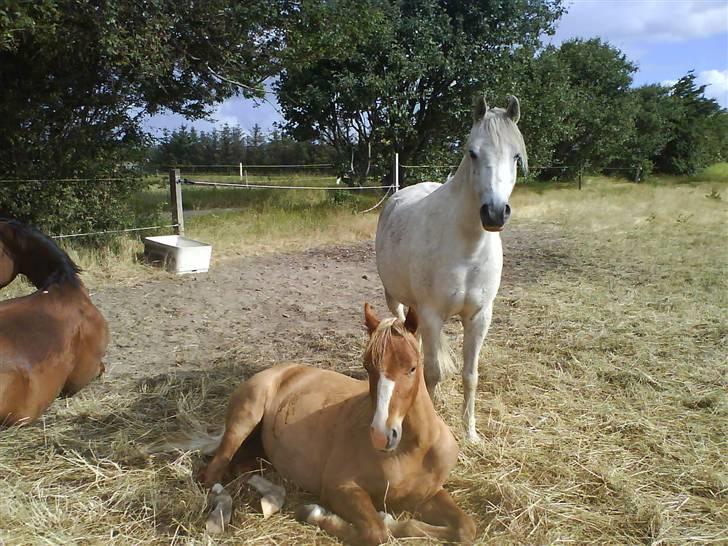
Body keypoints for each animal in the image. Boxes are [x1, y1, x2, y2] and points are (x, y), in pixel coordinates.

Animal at [199, 304, 474, 544]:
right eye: (367, 366)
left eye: (412, 368)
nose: (381, 434)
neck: (412, 451)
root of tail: (278, 370)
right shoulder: (339, 487)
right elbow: (377, 532)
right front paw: (314, 513)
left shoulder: (429, 494)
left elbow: (465, 528)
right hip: (243, 421)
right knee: (212, 475)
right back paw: (218, 517)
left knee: (244, 470)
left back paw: (271, 500)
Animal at [378, 95, 528, 440]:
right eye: (472, 152)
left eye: (516, 156)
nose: (494, 213)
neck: (467, 248)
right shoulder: (432, 315)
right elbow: (434, 374)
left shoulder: (479, 317)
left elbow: (470, 374)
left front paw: (471, 433)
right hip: (395, 298)